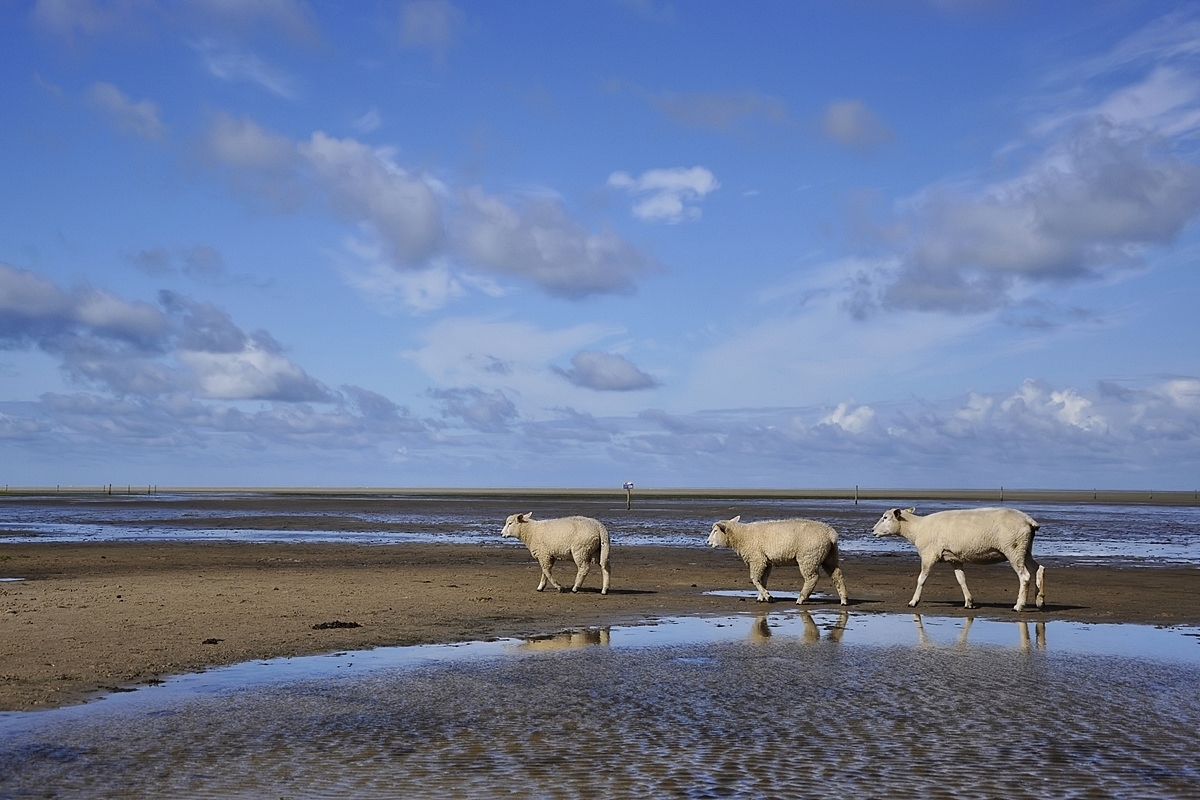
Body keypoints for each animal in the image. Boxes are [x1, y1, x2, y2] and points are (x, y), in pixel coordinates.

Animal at [705, 520, 849, 606]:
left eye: (716, 531)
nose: (707, 542)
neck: (742, 536)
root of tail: (830, 534)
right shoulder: (766, 561)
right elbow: (763, 579)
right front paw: (762, 597)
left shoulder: (757, 559)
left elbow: (755, 579)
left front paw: (768, 596)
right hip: (829, 556)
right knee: (837, 575)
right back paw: (843, 600)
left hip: (809, 556)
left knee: (812, 578)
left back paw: (801, 599)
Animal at [868, 506, 1046, 614]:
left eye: (885, 517)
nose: (872, 530)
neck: (916, 529)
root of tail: (1028, 521)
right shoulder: (954, 558)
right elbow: (961, 579)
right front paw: (969, 602)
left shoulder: (929, 555)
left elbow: (921, 579)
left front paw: (913, 601)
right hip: (1025, 548)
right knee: (1039, 568)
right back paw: (1040, 601)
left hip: (1013, 548)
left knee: (1025, 576)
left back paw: (1019, 606)